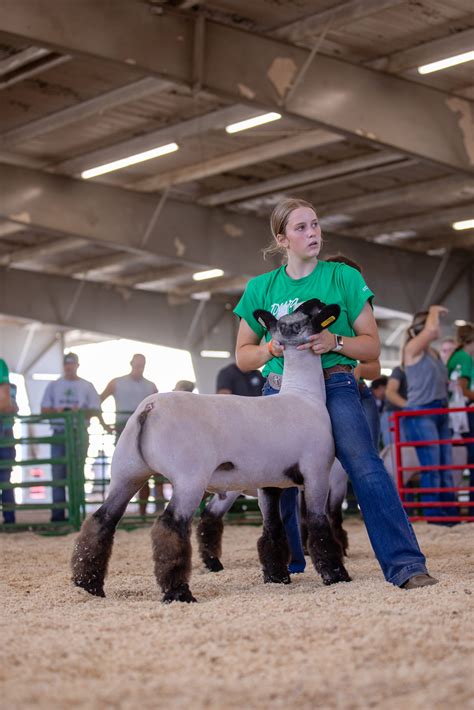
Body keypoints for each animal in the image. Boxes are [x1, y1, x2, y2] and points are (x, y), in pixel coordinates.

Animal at [72, 298, 350, 604]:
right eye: (306, 315)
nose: (320, 301)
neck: (305, 396)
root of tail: (149, 408)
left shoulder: (270, 482)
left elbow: (273, 530)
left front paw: (277, 577)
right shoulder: (316, 473)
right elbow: (320, 525)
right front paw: (336, 575)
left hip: (127, 472)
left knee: (102, 520)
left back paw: (89, 584)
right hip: (189, 478)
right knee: (170, 526)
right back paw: (179, 592)